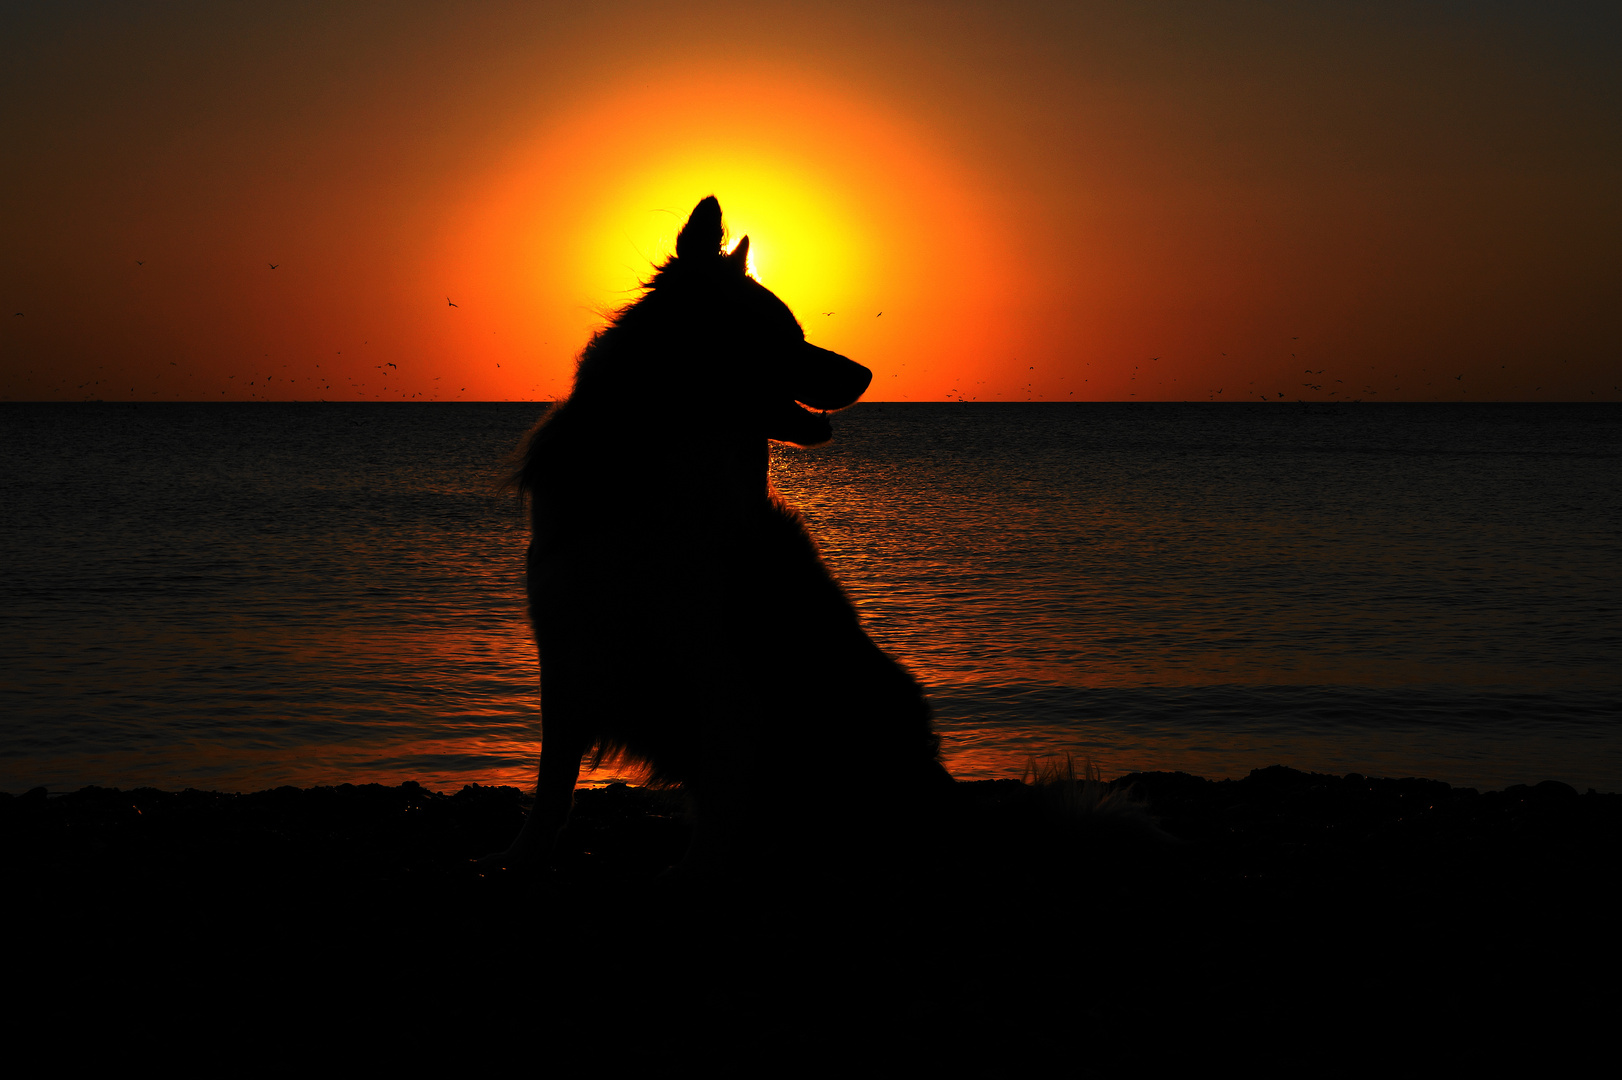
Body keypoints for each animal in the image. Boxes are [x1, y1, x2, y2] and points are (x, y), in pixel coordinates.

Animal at [486, 191, 953, 869]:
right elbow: (551, 785)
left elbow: (718, 813)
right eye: (782, 335)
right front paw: (520, 856)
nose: (868, 373)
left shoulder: (724, 668)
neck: (666, 454)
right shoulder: (568, 642)